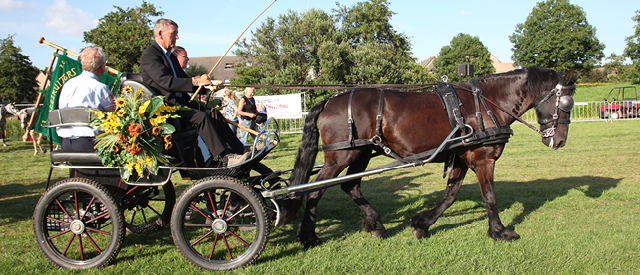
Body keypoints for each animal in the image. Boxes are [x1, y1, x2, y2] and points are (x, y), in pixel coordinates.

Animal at [280, 67, 580, 250]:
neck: (486, 103)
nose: (559, 141)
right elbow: (490, 197)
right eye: (566, 103)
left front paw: (422, 224)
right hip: (340, 156)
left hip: (361, 153)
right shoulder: (483, 159)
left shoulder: (461, 158)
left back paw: (374, 224)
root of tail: (330, 100)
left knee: (350, 185)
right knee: (314, 190)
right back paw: (308, 236)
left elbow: (450, 196)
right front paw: (500, 231)